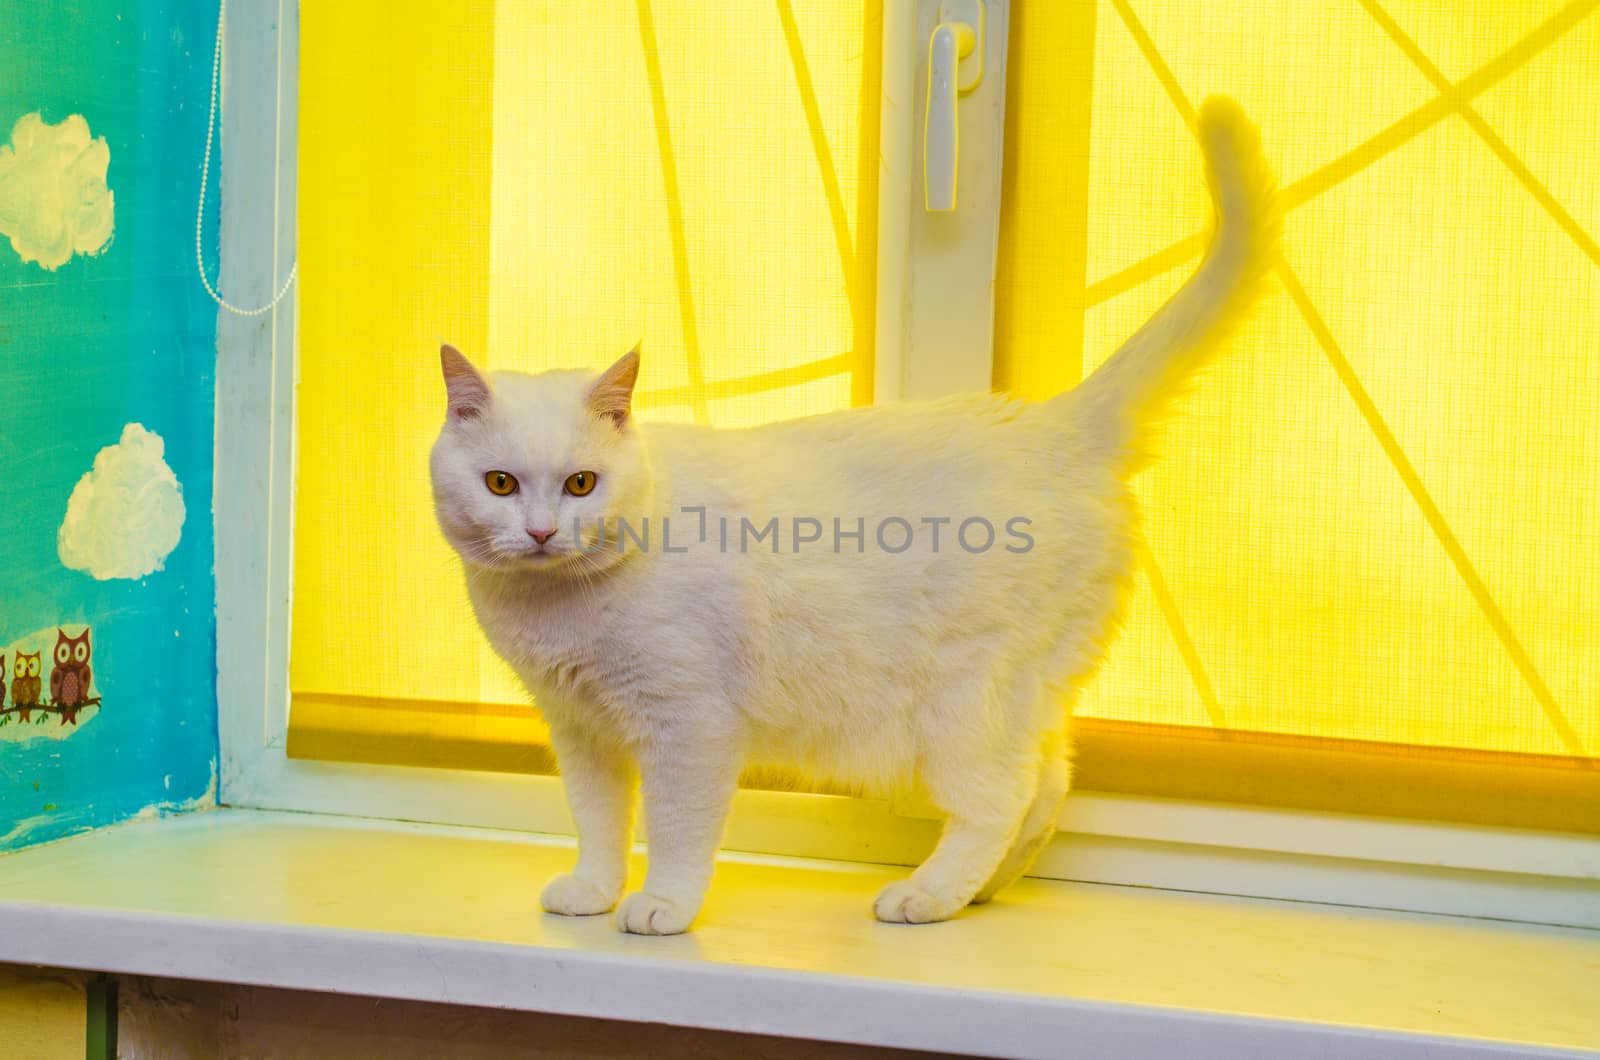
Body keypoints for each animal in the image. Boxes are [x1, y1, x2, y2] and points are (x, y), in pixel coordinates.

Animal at [428, 95, 1273, 935]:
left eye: (581, 484)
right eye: (500, 483)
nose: (542, 531)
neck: (556, 608)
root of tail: (1051, 426)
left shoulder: (688, 726)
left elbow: (674, 829)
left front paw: (662, 904)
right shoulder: (581, 732)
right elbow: (599, 822)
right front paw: (594, 891)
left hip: (966, 706)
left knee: (1002, 800)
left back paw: (929, 896)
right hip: (1026, 696)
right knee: (1049, 783)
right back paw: (987, 888)